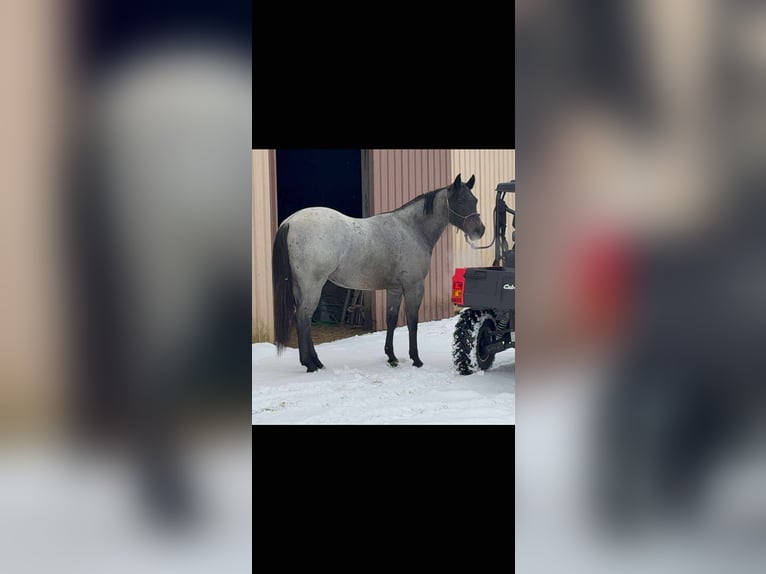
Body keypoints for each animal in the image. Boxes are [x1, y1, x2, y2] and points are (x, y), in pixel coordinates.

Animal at [272, 173, 486, 372]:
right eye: (460, 200)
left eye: (475, 200)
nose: (480, 230)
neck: (411, 229)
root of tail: (290, 222)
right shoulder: (413, 286)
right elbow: (412, 321)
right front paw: (416, 359)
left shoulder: (394, 289)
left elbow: (391, 319)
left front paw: (391, 357)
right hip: (312, 286)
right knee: (303, 318)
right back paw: (310, 364)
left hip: (300, 287)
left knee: (304, 319)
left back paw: (316, 362)